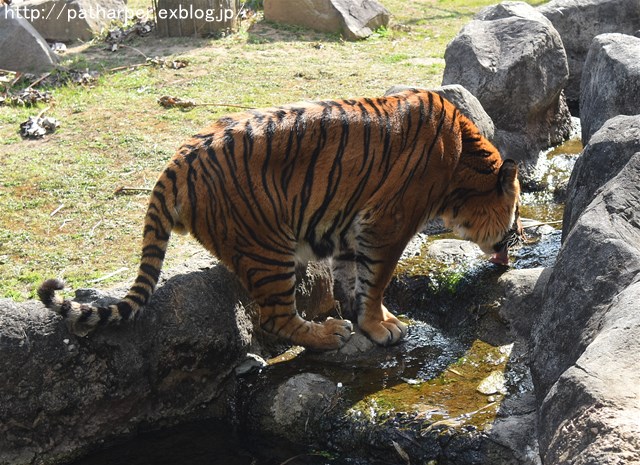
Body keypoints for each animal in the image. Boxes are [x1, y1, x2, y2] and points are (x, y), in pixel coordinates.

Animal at [38, 88, 520, 348]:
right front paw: (376, 326)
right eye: (515, 215)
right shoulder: (388, 226)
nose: (515, 242)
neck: (463, 167)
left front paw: (375, 317)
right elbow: (377, 279)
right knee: (275, 318)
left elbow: (356, 280)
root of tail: (176, 162)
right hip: (268, 248)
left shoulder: (354, 230)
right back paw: (329, 334)